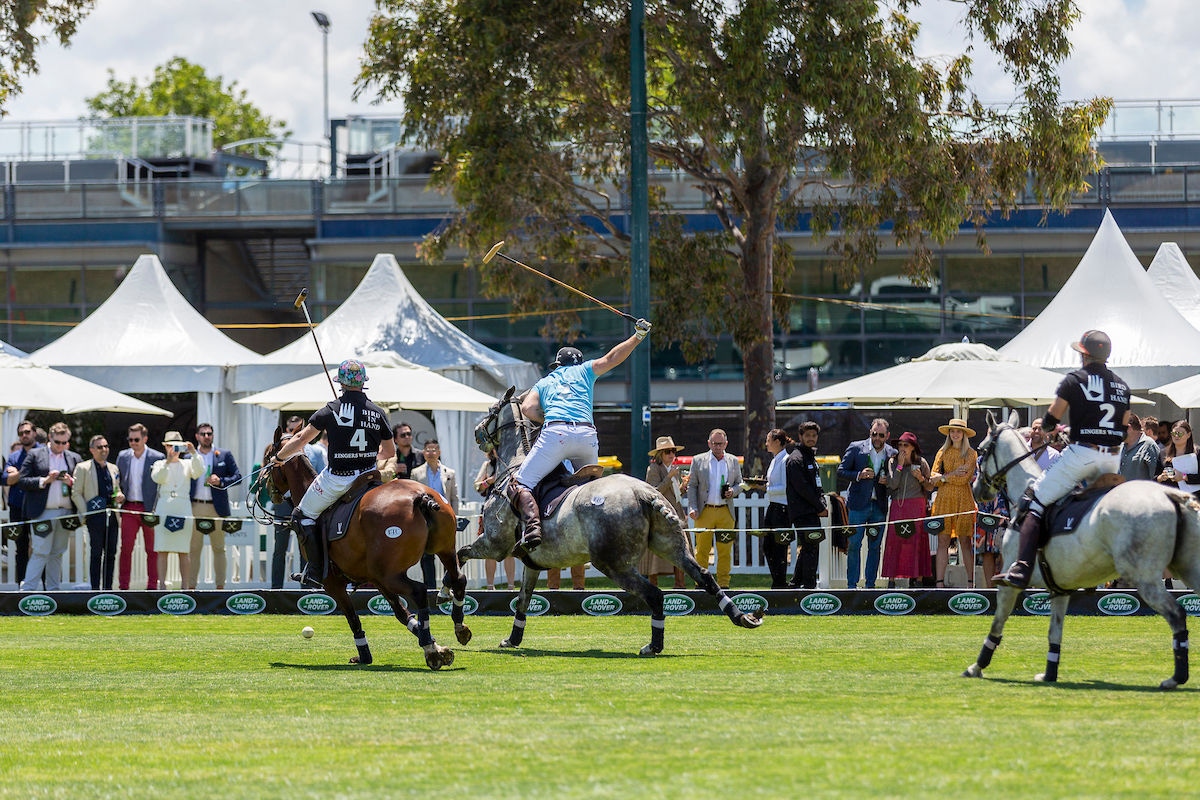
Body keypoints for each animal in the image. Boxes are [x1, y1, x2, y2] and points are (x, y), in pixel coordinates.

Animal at [265, 429, 470, 671]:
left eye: (268, 456)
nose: (267, 489)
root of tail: (421, 497)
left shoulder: (333, 582)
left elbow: (352, 617)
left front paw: (364, 656)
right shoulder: (375, 578)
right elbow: (401, 613)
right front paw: (437, 645)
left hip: (390, 574)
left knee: (419, 591)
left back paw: (430, 650)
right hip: (440, 550)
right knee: (458, 578)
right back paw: (459, 628)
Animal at [458, 388, 758, 657]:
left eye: (491, 409)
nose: (476, 432)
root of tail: (645, 493)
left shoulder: (493, 545)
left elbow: (461, 556)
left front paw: (456, 611)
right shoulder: (532, 563)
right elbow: (522, 599)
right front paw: (512, 639)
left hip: (612, 563)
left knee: (655, 594)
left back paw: (653, 646)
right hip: (671, 545)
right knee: (704, 575)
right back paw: (741, 616)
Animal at [964, 412, 1200, 690]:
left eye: (981, 450)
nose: (978, 490)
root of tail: (1169, 494)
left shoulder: (1008, 584)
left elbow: (997, 623)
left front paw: (977, 666)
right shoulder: (1060, 588)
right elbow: (1054, 632)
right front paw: (1049, 673)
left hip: (1145, 577)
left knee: (1177, 615)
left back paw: (1176, 677)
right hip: (1190, 567)